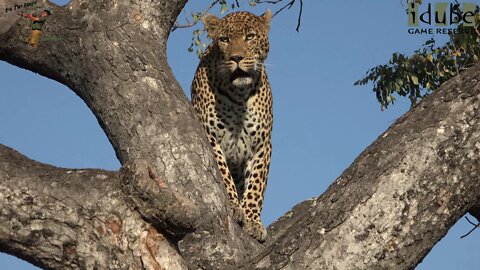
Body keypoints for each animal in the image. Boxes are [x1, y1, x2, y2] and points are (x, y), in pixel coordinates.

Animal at [191, 11, 274, 243]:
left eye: (250, 36)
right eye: (224, 39)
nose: (236, 58)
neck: (239, 95)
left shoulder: (262, 145)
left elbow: (256, 185)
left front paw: (253, 221)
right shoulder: (210, 137)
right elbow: (222, 172)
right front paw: (234, 207)